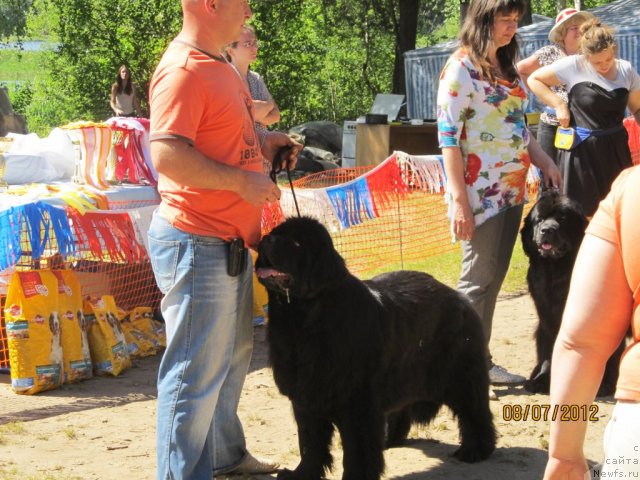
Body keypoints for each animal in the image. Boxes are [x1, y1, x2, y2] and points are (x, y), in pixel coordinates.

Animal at [255, 217, 496, 480]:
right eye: (275, 232)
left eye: (297, 243)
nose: (265, 239)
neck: (304, 319)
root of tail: (460, 299)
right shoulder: (305, 399)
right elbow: (310, 443)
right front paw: (301, 474)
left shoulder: (357, 404)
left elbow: (357, 450)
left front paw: (355, 476)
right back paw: (390, 439)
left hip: (461, 376)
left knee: (475, 412)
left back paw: (475, 450)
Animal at [524, 189, 624, 396]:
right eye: (539, 219)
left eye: (562, 220)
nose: (547, 230)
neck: (555, 270)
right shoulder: (548, 318)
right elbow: (549, 350)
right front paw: (543, 379)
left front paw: (605, 383)